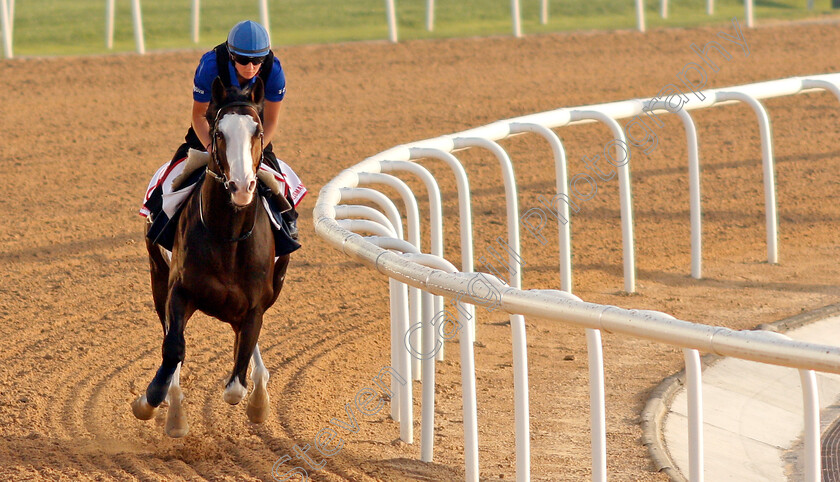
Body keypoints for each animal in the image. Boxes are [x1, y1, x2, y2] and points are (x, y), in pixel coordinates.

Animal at [131, 77, 288, 438]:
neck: (227, 236)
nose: (242, 187)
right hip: (157, 275)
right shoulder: (179, 290)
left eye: (258, 131)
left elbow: (236, 383)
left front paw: (257, 402)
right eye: (218, 133)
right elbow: (174, 349)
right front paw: (153, 401)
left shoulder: (255, 305)